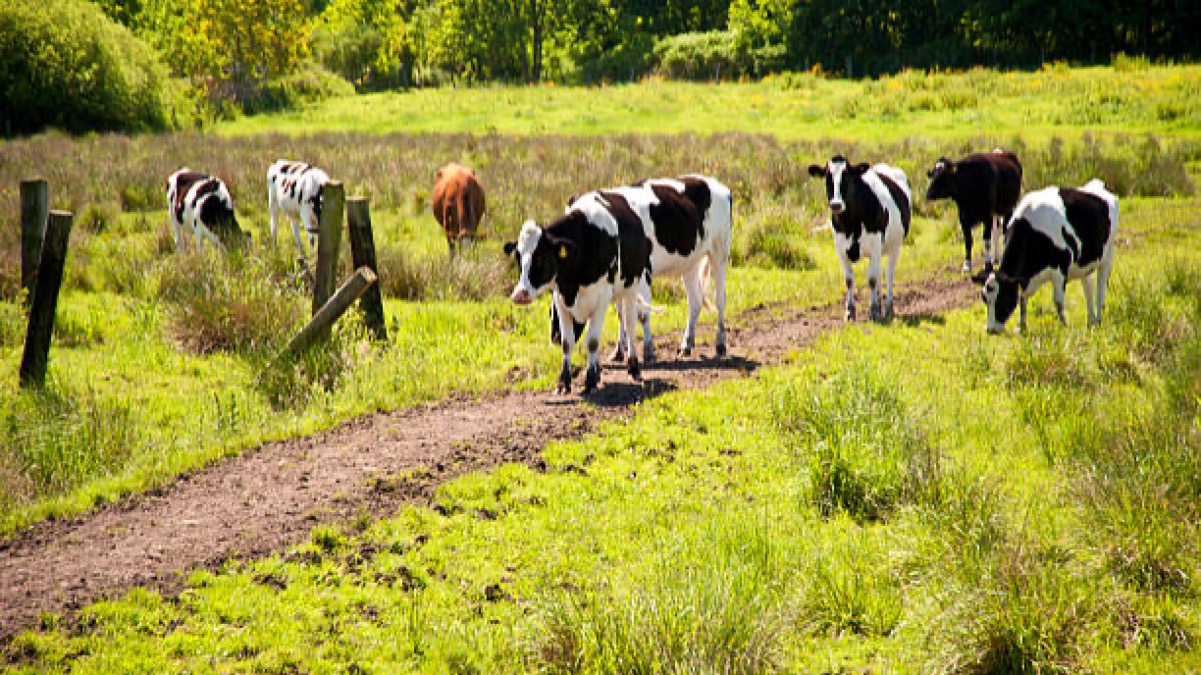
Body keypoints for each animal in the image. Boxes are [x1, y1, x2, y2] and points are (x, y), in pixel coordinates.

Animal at [506, 189, 658, 391]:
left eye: (541, 257)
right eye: (518, 257)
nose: (519, 294)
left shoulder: (601, 298)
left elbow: (592, 341)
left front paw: (591, 379)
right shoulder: (561, 299)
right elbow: (567, 342)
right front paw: (564, 381)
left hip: (630, 290)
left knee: (630, 325)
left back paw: (633, 368)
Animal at [807, 154, 907, 319]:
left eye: (847, 176)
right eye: (827, 177)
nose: (836, 205)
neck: (850, 224)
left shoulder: (875, 246)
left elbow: (872, 279)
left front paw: (874, 311)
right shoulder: (840, 248)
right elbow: (849, 279)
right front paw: (850, 311)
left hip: (895, 246)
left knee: (888, 274)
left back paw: (888, 309)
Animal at [975, 180, 1114, 331]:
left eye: (1003, 298)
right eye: (984, 298)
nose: (990, 330)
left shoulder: (1059, 271)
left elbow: (1058, 302)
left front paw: (1064, 326)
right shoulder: (1025, 278)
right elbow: (1022, 298)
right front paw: (1022, 327)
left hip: (1107, 257)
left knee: (1100, 291)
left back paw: (1098, 319)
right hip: (1084, 265)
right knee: (1088, 288)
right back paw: (1091, 321)